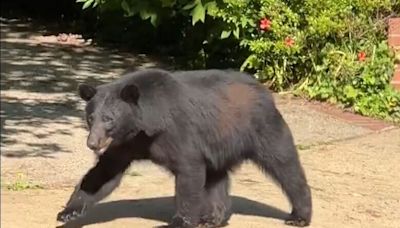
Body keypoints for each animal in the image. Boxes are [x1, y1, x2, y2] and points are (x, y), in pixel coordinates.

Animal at [56, 68, 312, 227]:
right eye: (90, 118)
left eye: (109, 119)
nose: (92, 143)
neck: (145, 125)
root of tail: (265, 90)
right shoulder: (126, 144)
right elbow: (103, 173)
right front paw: (68, 211)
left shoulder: (179, 133)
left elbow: (189, 171)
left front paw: (180, 220)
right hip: (219, 143)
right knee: (216, 179)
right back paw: (212, 218)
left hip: (262, 128)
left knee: (285, 165)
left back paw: (299, 215)